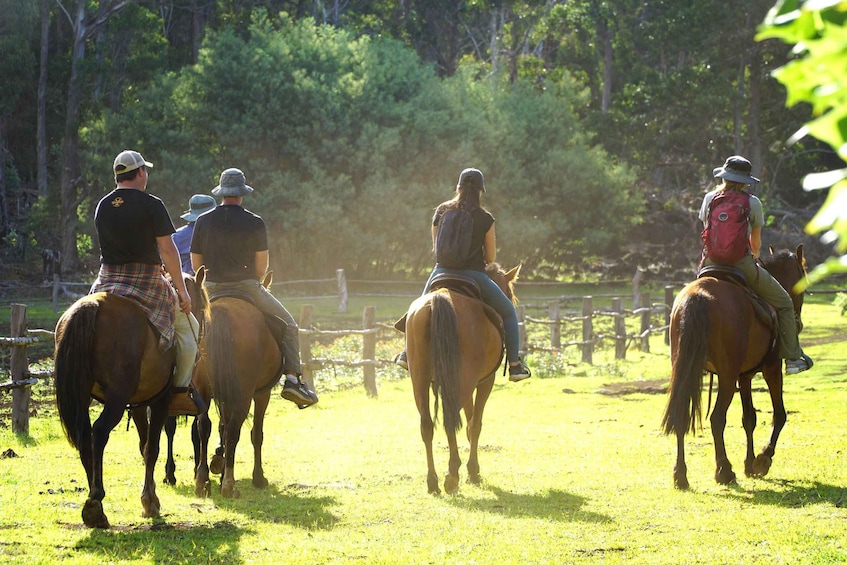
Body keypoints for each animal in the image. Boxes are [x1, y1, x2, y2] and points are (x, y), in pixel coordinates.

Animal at [54, 274, 205, 528]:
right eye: (202, 307)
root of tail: (92, 307)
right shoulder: (160, 401)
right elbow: (152, 448)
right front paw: (149, 501)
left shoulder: (139, 404)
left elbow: (144, 447)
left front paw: (151, 495)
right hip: (116, 398)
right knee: (99, 432)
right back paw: (96, 500)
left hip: (83, 395)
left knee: (85, 436)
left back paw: (93, 499)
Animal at [193, 270, 284, 496]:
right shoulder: (262, 394)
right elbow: (256, 434)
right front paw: (258, 477)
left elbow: (221, 428)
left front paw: (219, 462)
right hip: (244, 395)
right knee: (234, 429)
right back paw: (228, 485)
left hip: (203, 389)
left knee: (204, 426)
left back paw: (202, 479)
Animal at [406, 262, 520, 492]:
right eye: (509, 292)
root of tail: (439, 300)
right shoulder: (484, 381)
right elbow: (475, 424)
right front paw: (473, 471)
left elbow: (468, 423)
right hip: (462, 382)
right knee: (451, 420)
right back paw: (452, 475)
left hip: (421, 380)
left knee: (427, 425)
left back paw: (433, 481)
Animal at [664, 246, 808, 490]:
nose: (799, 324)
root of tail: (698, 296)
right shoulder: (771, 368)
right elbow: (779, 414)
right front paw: (763, 459)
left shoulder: (745, 375)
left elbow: (748, 418)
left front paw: (749, 464)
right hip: (727, 377)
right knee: (716, 419)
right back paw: (724, 471)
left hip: (686, 369)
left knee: (682, 414)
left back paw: (680, 475)